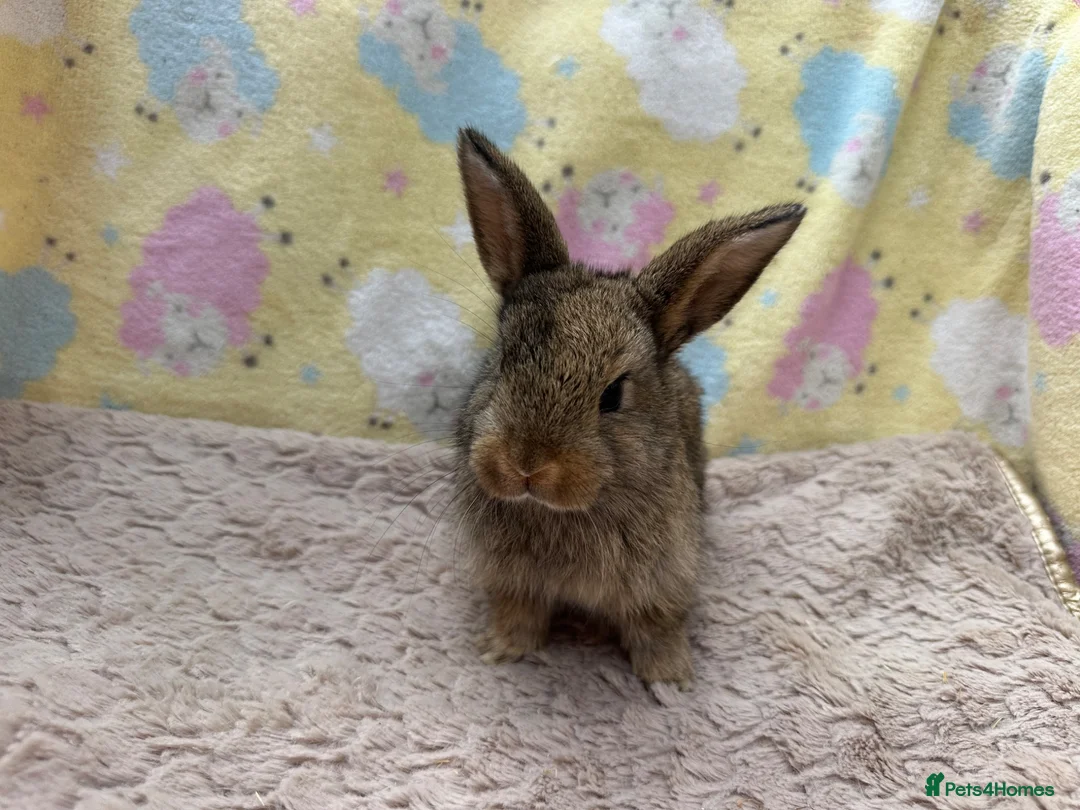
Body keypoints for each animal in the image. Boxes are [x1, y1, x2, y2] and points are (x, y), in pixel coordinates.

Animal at [451, 128, 804, 688]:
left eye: (614, 394)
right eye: (503, 359)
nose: (526, 464)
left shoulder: (663, 583)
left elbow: (656, 627)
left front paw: (671, 679)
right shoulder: (514, 582)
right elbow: (517, 613)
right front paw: (499, 650)